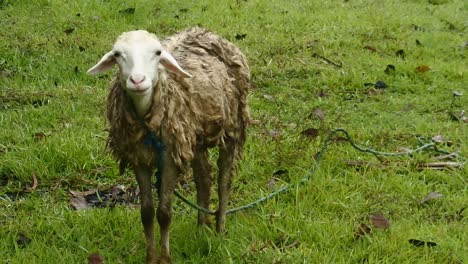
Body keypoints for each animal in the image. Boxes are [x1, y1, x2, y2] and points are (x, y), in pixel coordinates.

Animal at [86, 27, 250, 264]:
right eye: (117, 54)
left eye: (157, 53)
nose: (137, 80)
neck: (147, 121)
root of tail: (205, 31)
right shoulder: (138, 159)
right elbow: (146, 213)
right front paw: (151, 257)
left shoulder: (171, 159)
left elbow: (164, 213)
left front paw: (164, 258)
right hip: (193, 138)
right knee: (204, 178)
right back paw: (202, 229)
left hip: (232, 127)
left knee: (224, 180)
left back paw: (219, 229)